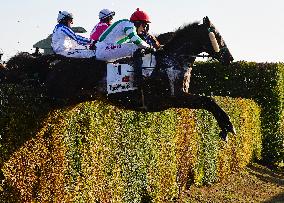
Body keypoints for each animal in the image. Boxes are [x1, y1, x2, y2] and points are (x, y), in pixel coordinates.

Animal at [0, 16, 235, 140]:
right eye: (218, 36)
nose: (229, 58)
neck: (172, 59)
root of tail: (56, 62)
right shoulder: (175, 97)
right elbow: (209, 101)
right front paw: (227, 127)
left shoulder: (178, 97)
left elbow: (208, 101)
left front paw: (226, 127)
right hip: (55, 93)